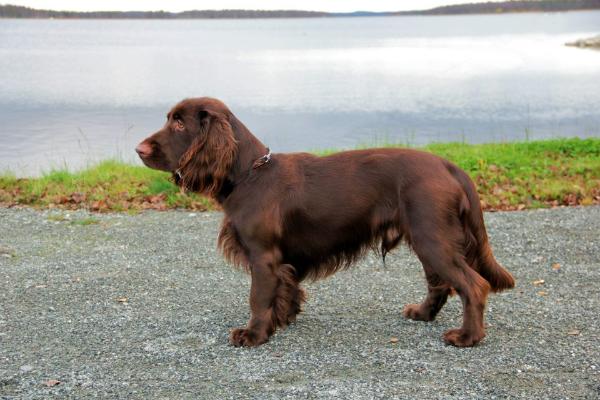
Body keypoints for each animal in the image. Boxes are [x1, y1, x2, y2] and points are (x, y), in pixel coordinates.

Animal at [137, 96, 516, 346]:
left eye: (179, 123)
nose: (139, 150)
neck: (249, 173)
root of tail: (448, 165)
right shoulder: (283, 261)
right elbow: (286, 289)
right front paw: (283, 319)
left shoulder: (263, 255)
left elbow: (258, 297)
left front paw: (254, 334)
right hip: (428, 237)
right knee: (440, 283)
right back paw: (422, 314)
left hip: (432, 237)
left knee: (472, 285)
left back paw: (467, 337)